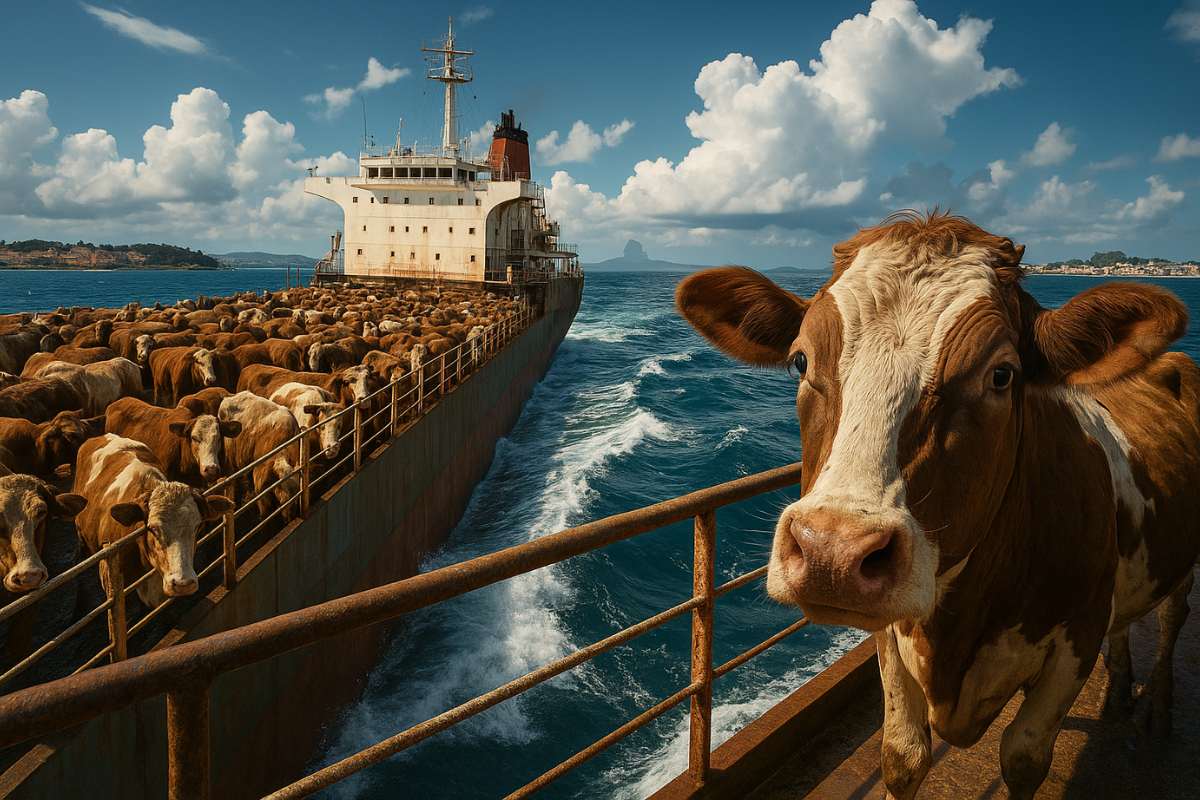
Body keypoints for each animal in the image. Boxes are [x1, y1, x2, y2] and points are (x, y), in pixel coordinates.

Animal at [217, 392, 302, 521]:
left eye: (297, 494)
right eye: (286, 497)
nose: (290, 516)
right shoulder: (260, 478)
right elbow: (264, 508)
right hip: (230, 457)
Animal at [675, 211, 1200, 800]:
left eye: (1001, 374)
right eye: (799, 361)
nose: (832, 553)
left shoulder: (1075, 644)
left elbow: (1023, 757)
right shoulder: (892, 636)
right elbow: (903, 756)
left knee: (1174, 613)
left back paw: (1158, 705)